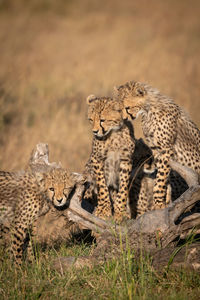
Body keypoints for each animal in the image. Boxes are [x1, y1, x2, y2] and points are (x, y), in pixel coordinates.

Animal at [114, 81, 200, 210]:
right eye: (119, 109)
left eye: (127, 107)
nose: (124, 119)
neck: (148, 110)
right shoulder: (156, 150)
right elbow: (164, 176)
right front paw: (165, 201)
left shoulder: (166, 150)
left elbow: (161, 177)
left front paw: (159, 203)